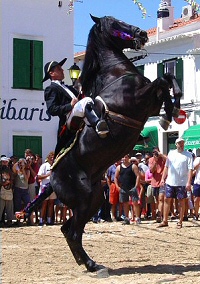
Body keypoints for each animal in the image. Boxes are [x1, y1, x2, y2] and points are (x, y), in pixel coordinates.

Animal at [22, 15, 182, 272]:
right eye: (114, 23)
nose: (142, 34)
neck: (115, 75)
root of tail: (51, 178)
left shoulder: (150, 106)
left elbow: (166, 79)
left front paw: (173, 108)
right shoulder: (138, 100)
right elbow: (160, 80)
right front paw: (171, 112)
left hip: (94, 198)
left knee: (69, 230)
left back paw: (88, 263)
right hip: (85, 200)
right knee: (72, 232)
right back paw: (90, 265)